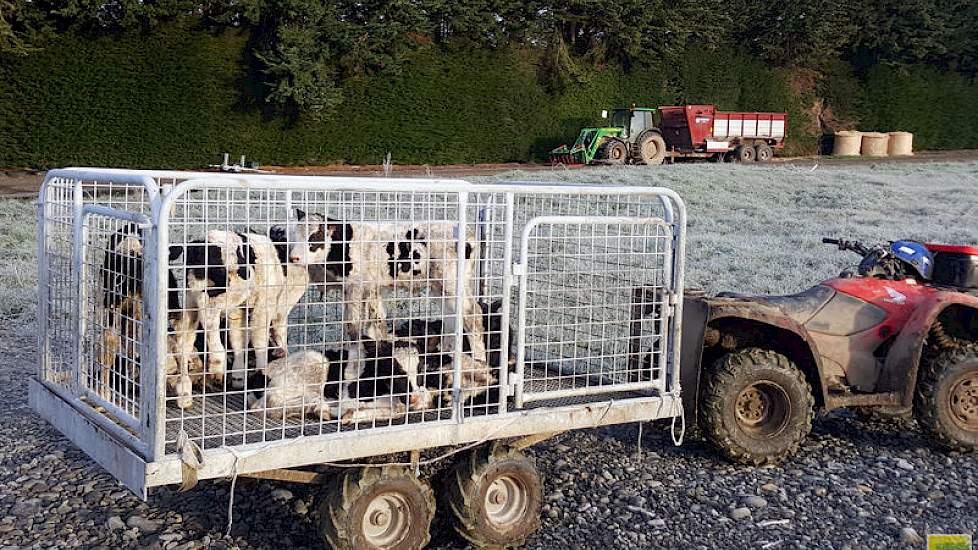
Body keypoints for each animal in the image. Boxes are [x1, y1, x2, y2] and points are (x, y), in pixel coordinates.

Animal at [290, 212, 488, 366]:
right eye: (295, 235)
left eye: (314, 237)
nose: (293, 258)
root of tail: (469, 232)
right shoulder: (373, 289)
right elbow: (377, 321)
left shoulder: (355, 288)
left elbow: (353, 325)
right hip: (439, 287)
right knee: (451, 316)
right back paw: (446, 353)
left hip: (451, 282)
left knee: (473, 314)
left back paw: (479, 359)